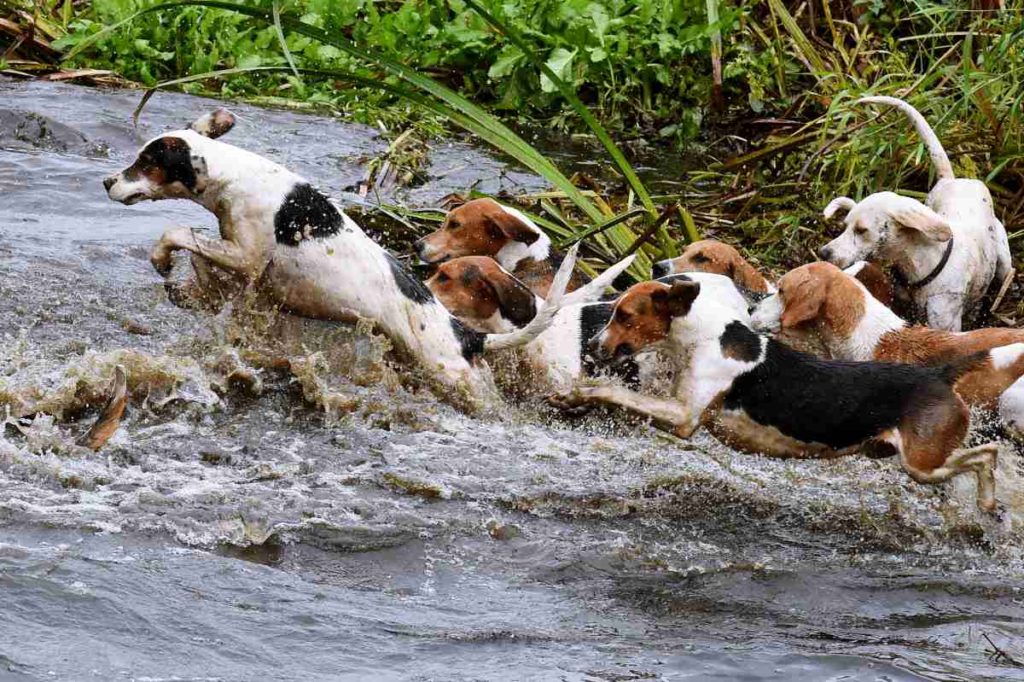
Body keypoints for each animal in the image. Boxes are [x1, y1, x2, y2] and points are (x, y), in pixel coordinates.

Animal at [103, 106, 630, 403]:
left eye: (145, 162)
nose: (107, 182)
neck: (237, 176)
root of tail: (466, 335)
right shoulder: (242, 265)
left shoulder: (246, 257)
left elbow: (178, 232)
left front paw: (161, 257)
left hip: (451, 374)